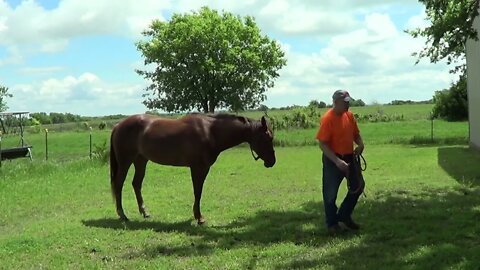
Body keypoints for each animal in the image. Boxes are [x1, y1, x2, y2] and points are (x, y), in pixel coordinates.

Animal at [109, 112, 274, 224]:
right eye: (267, 138)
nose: (272, 161)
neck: (210, 132)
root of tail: (118, 126)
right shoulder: (198, 168)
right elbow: (197, 192)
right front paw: (199, 218)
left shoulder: (202, 168)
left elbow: (198, 192)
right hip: (125, 162)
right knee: (119, 184)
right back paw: (122, 215)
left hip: (141, 160)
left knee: (136, 184)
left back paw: (145, 212)